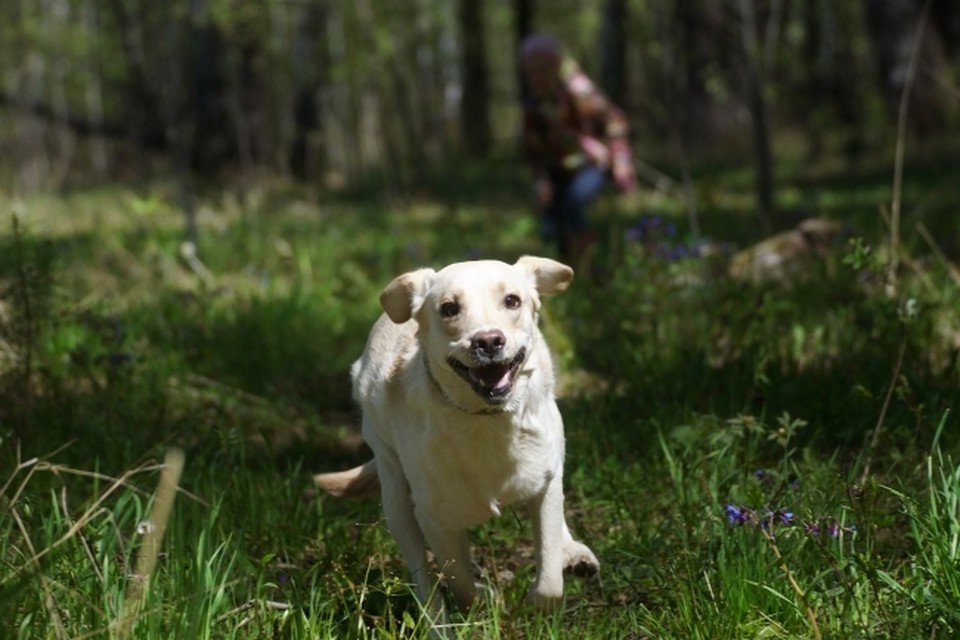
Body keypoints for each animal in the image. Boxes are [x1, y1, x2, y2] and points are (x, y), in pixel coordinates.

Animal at [318, 256, 596, 620]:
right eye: (449, 308)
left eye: (512, 301)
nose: (488, 341)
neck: (487, 419)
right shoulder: (433, 520)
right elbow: (460, 583)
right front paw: (483, 599)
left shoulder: (545, 485)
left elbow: (549, 579)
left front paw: (539, 596)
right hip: (395, 493)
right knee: (424, 576)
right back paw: (437, 621)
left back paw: (573, 553)